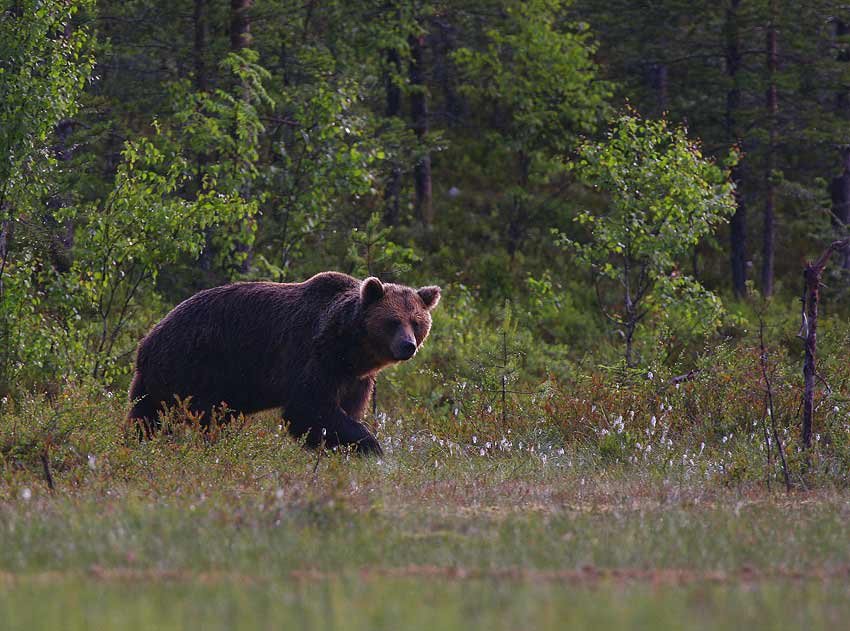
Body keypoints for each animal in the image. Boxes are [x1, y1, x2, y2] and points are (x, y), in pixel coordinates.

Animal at [129, 272, 440, 454]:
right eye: (393, 321)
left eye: (417, 322)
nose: (408, 345)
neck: (349, 349)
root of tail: (147, 339)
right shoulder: (312, 357)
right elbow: (309, 409)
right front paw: (369, 445)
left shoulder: (355, 378)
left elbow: (347, 408)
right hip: (197, 365)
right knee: (205, 417)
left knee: (145, 415)